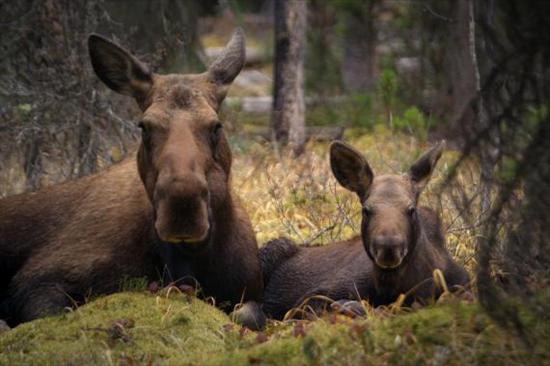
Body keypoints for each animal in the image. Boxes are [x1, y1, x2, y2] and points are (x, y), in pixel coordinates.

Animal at [0, 30, 268, 330]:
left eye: (216, 126)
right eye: (144, 126)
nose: (182, 208)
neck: (192, 259)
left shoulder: (249, 292)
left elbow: (248, 315)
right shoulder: (37, 279)